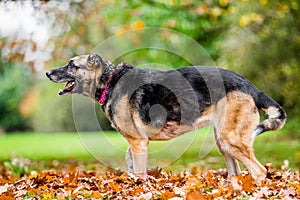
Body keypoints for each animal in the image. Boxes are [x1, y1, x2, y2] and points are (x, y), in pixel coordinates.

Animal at [46, 53, 286, 181]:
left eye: (71, 64)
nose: (47, 73)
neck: (110, 81)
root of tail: (246, 83)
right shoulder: (135, 145)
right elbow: (132, 167)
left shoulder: (138, 142)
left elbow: (140, 174)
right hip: (223, 142)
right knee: (236, 172)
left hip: (231, 140)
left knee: (259, 171)